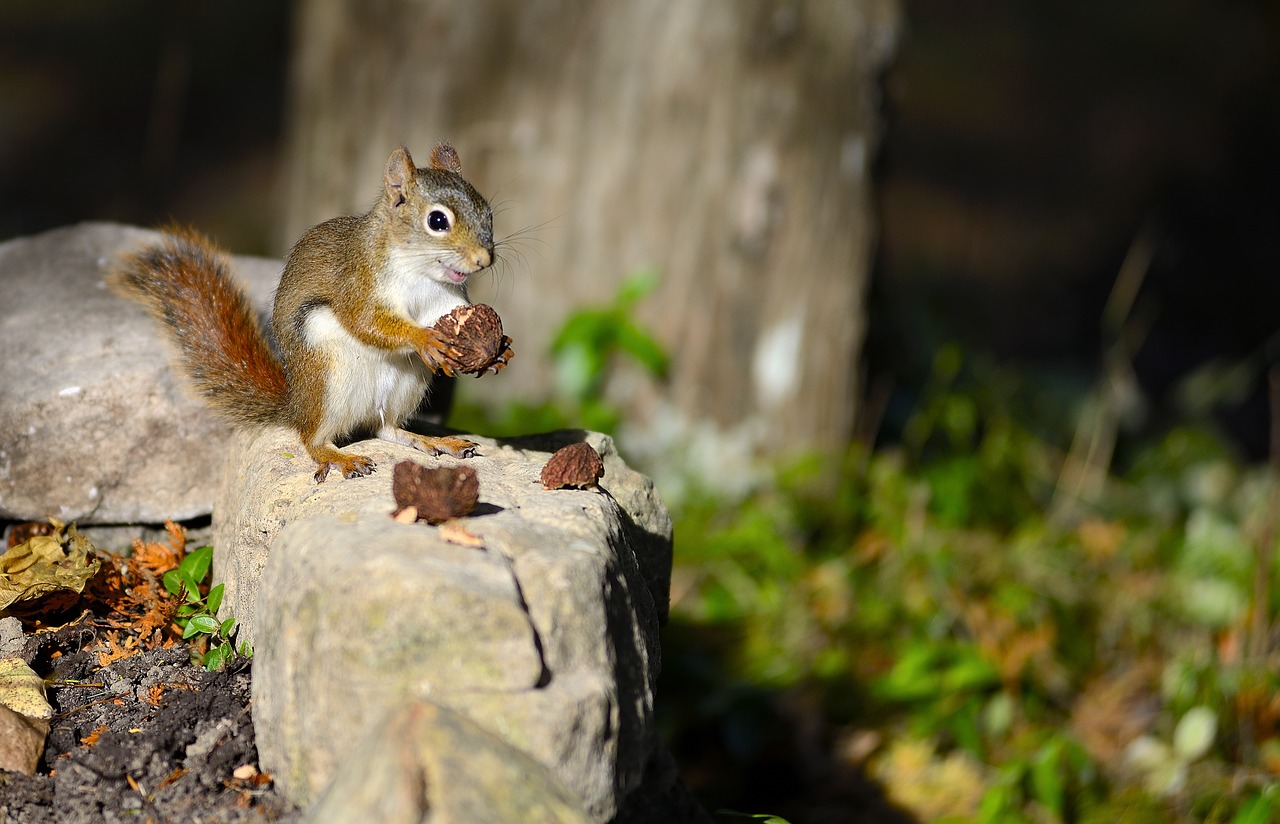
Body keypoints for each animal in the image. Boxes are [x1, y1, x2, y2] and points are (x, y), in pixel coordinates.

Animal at [110, 142, 509, 483]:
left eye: (488, 214)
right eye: (437, 221)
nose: (484, 259)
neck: (423, 272)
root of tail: (295, 403)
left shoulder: (449, 302)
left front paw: (499, 350)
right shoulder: (358, 282)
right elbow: (366, 322)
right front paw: (424, 338)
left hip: (406, 385)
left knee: (388, 428)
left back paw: (434, 441)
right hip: (326, 378)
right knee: (312, 439)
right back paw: (340, 457)